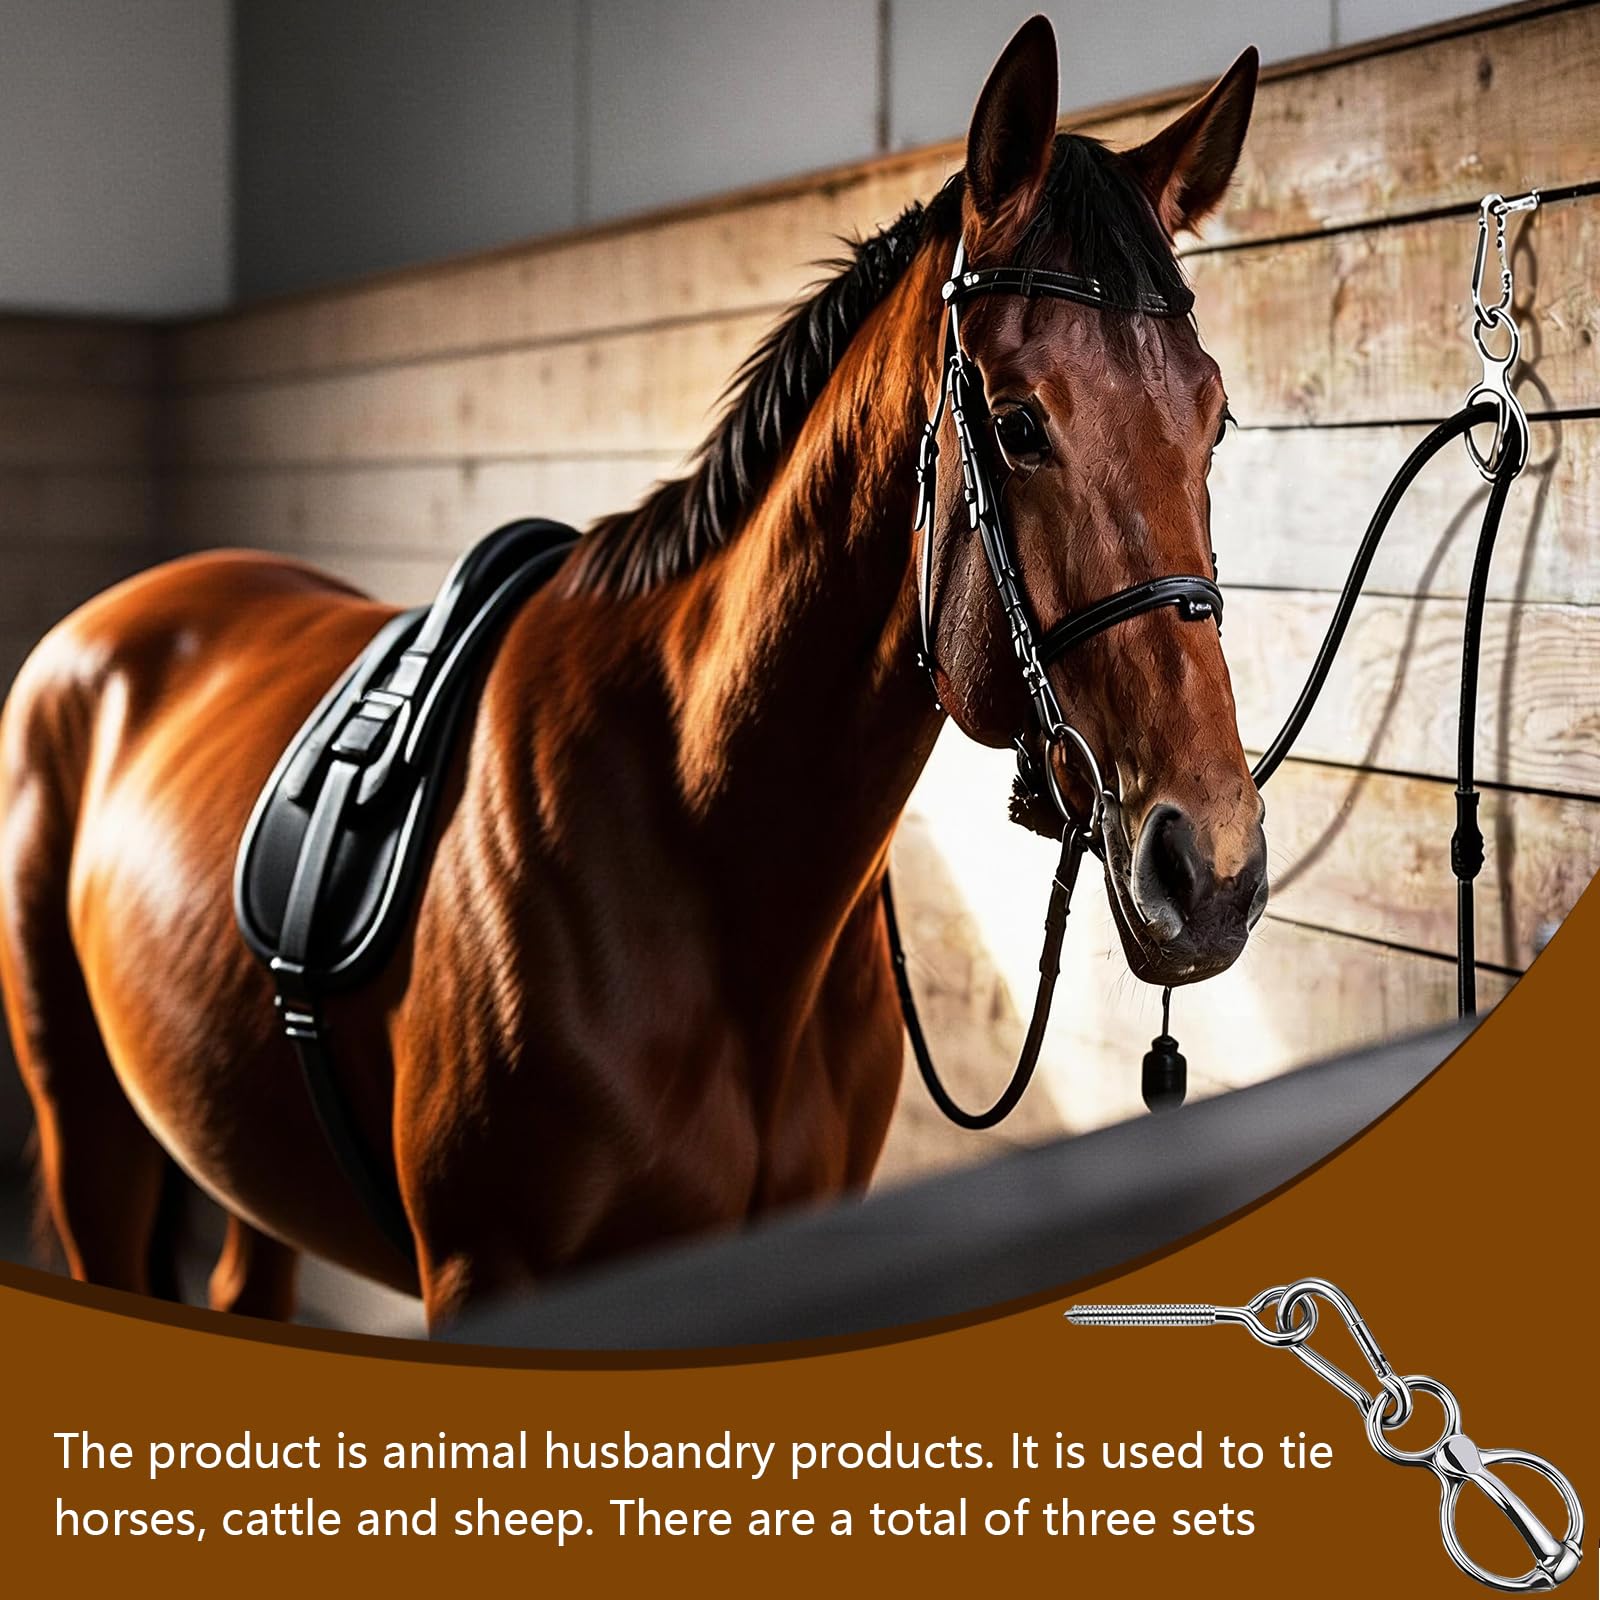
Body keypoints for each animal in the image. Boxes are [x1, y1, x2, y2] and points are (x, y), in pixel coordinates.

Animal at [0, 17, 1265, 1329]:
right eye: (1017, 425)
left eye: (1214, 419)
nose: (1211, 867)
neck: (700, 843)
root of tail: (119, 616)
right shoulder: (488, 1274)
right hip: (87, 1126)